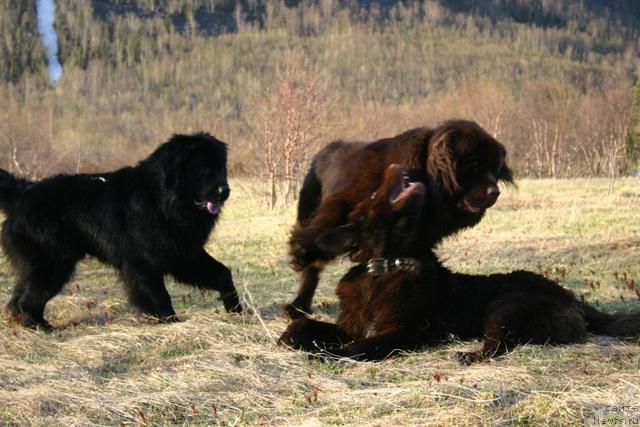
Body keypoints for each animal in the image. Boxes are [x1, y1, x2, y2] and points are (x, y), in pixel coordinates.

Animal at [0, 134, 240, 332]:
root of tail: (23, 193)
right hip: (53, 262)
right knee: (29, 298)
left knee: (19, 295)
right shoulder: (142, 262)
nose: (225, 190)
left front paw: (236, 309)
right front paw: (169, 321)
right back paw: (41, 326)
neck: (160, 200)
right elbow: (158, 294)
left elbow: (222, 273)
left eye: (221, 168)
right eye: (204, 170)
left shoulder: (184, 254)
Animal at [278, 166, 640, 362]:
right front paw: (290, 338)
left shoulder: (402, 331)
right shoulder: (350, 324)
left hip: (506, 304)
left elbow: (360, 346)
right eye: (372, 196)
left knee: (498, 345)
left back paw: (469, 354)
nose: (400, 166)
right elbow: (305, 325)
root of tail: (572, 298)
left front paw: (324, 354)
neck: (388, 263)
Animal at [288, 119, 512, 318]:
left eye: (495, 169)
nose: (495, 192)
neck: (426, 175)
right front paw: (300, 252)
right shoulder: (344, 199)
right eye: (474, 167)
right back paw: (298, 305)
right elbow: (321, 228)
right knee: (313, 266)